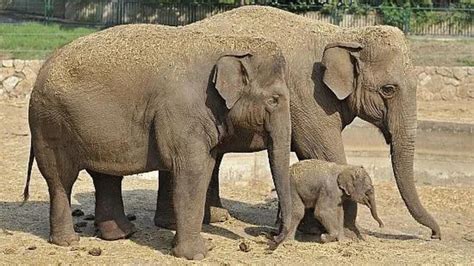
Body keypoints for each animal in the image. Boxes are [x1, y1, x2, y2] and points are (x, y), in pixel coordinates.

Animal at [25, 25, 296, 260]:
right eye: (274, 100)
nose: (271, 237)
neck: (228, 42)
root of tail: (41, 69)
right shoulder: (182, 111)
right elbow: (192, 171)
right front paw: (198, 254)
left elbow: (204, 167)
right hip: (50, 124)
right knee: (61, 179)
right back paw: (68, 241)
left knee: (105, 176)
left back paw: (121, 235)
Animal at [149, 5, 440, 239]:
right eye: (388, 89)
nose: (435, 234)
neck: (344, 35)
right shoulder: (310, 96)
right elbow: (324, 152)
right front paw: (347, 234)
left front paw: (311, 229)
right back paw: (182, 223)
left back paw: (211, 218)